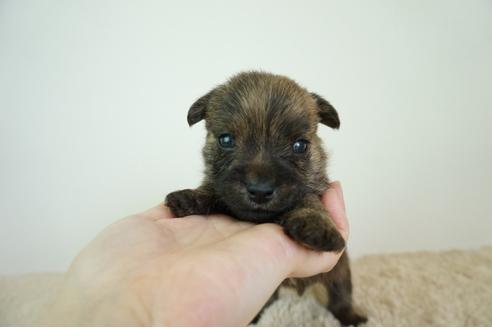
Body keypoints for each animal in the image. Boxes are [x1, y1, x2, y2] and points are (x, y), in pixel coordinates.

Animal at [165, 72, 366, 326]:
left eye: (299, 145)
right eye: (226, 140)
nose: (260, 190)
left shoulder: (313, 191)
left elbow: (308, 200)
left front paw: (316, 224)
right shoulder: (223, 190)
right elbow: (213, 190)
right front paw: (190, 197)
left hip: (339, 274)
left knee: (340, 298)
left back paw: (351, 316)